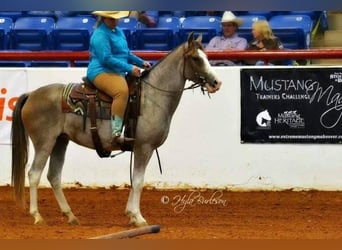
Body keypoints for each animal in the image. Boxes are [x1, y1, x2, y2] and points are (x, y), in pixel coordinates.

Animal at [10, 32, 222, 227]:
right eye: (196, 59)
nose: (216, 83)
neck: (151, 97)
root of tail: (31, 95)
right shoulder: (143, 147)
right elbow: (138, 181)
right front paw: (139, 217)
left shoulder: (142, 149)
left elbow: (135, 180)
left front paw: (131, 215)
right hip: (44, 143)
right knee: (34, 174)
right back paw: (37, 216)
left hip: (60, 141)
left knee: (53, 176)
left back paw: (70, 216)